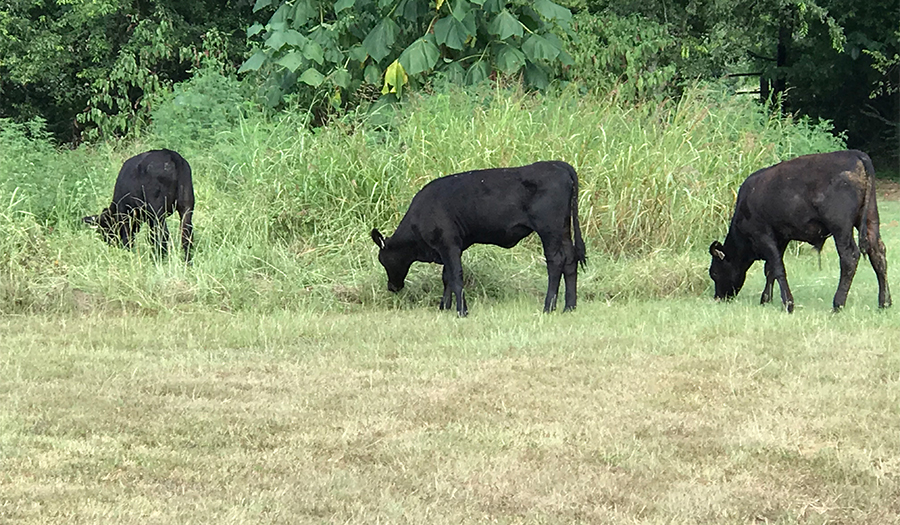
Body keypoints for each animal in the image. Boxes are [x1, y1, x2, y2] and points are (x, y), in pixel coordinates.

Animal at [370, 160, 588, 316]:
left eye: (384, 260)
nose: (392, 287)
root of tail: (558, 164)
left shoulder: (448, 245)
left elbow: (456, 275)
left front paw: (461, 311)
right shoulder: (450, 247)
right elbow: (446, 277)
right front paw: (444, 307)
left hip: (549, 229)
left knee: (556, 261)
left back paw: (548, 307)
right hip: (563, 230)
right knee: (570, 259)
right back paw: (569, 306)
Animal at [712, 147, 892, 312]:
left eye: (713, 273)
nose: (718, 298)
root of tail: (855, 154)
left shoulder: (762, 234)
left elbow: (777, 267)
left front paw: (788, 303)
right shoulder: (781, 237)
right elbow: (770, 269)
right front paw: (766, 299)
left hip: (841, 226)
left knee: (849, 257)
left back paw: (838, 304)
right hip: (870, 219)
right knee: (878, 253)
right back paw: (884, 303)